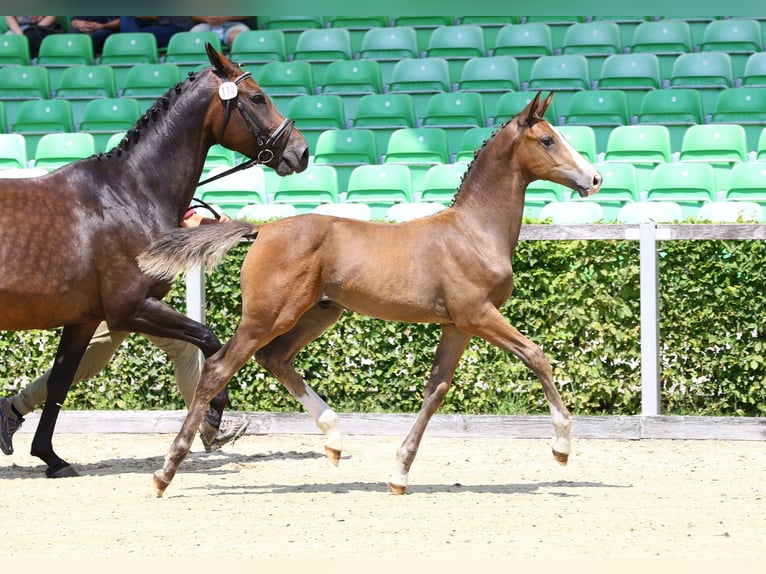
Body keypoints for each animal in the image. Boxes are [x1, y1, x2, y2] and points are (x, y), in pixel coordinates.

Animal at [1, 44, 312, 476]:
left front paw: (50, 456)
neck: (131, 193)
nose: (301, 152)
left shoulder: (85, 320)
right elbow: (208, 339)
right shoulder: (129, 308)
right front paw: (214, 415)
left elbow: (61, 379)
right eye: (257, 98)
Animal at [141, 92, 604, 498]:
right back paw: (166, 472)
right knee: (218, 368)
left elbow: (436, 390)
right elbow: (536, 355)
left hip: (318, 313)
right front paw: (562, 447)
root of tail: (262, 230)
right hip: (268, 316)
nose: (595, 179)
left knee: (275, 359)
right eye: (548, 140)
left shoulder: (457, 325)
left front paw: (399, 473)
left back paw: (333, 438)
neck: (473, 232)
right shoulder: (478, 314)